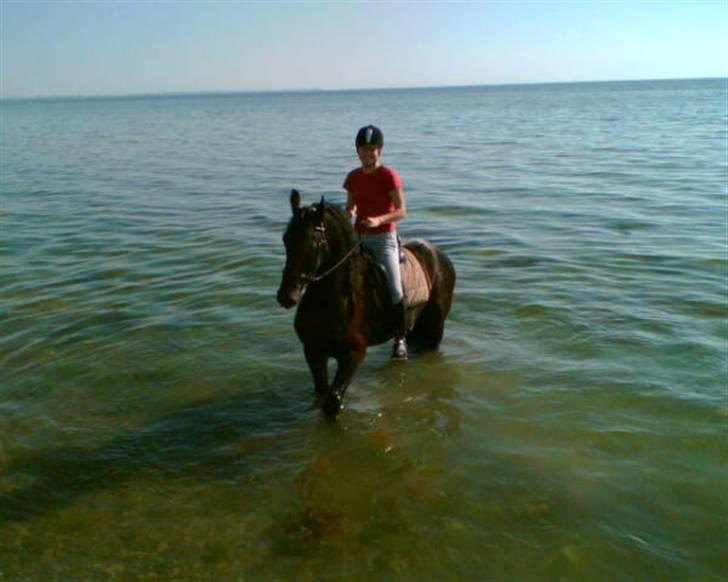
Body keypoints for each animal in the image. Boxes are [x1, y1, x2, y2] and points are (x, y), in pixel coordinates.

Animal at [278, 192, 456, 420]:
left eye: (314, 242)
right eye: (286, 239)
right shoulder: (313, 350)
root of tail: (438, 254)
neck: (331, 301)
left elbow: (333, 402)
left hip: (435, 328)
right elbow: (322, 393)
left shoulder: (353, 354)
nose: (286, 296)